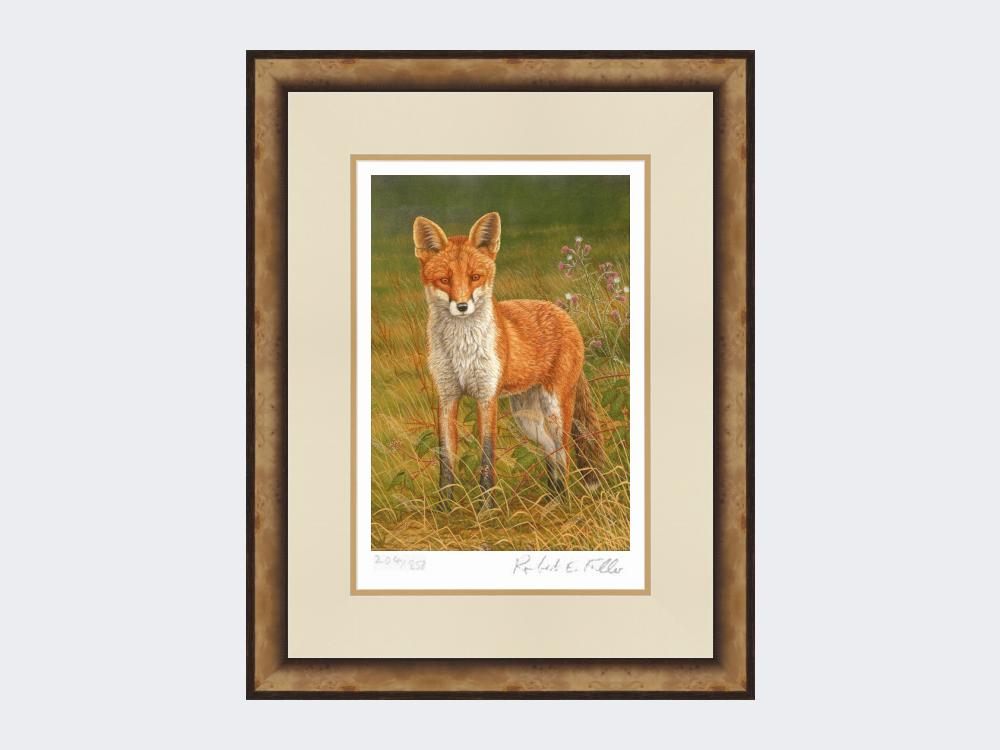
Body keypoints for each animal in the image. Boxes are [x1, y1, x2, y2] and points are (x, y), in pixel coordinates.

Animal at [413, 211, 605, 506]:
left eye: (475, 277)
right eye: (444, 280)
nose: (462, 306)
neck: (461, 350)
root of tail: (563, 314)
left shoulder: (486, 396)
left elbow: (487, 457)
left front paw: (486, 509)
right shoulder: (447, 396)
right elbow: (446, 459)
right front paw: (445, 508)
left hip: (555, 410)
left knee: (565, 454)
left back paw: (564, 504)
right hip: (527, 418)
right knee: (551, 453)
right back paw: (553, 501)